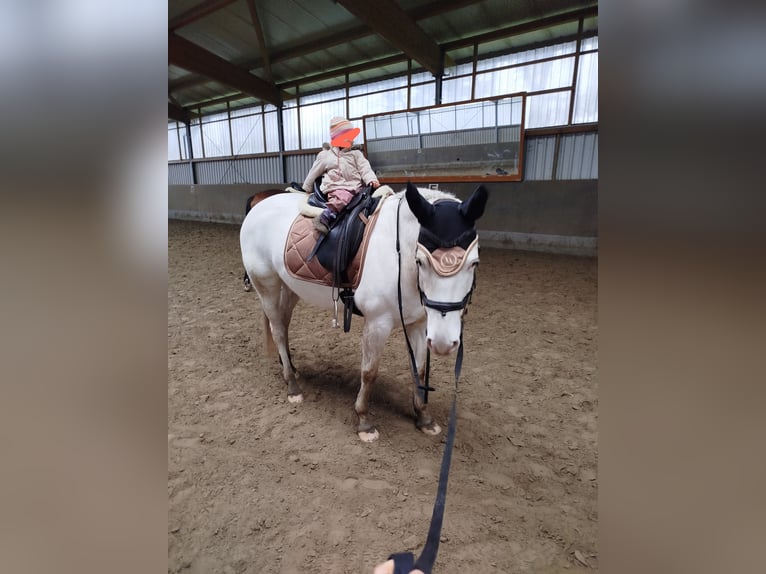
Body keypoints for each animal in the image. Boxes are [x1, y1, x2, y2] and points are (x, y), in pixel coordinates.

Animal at [242, 182, 492, 444]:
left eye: (474, 263)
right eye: (421, 261)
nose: (444, 343)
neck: (399, 256)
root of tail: (260, 205)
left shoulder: (418, 323)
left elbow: (420, 369)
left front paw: (424, 417)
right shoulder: (377, 323)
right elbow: (369, 372)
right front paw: (364, 421)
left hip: (290, 288)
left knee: (283, 323)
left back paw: (290, 368)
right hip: (267, 286)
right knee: (278, 330)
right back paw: (292, 386)